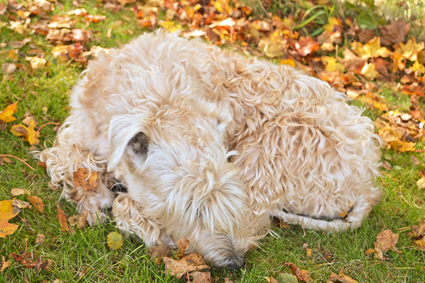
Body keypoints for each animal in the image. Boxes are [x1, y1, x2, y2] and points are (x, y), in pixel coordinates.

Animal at [39, 31, 382, 270]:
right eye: (191, 206)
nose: (234, 263)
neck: (159, 101)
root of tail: (368, 185)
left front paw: (137, 218)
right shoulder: (81, 127)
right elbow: (63, 158)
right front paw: (92, 193)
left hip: (272, 144)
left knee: (257, 222)